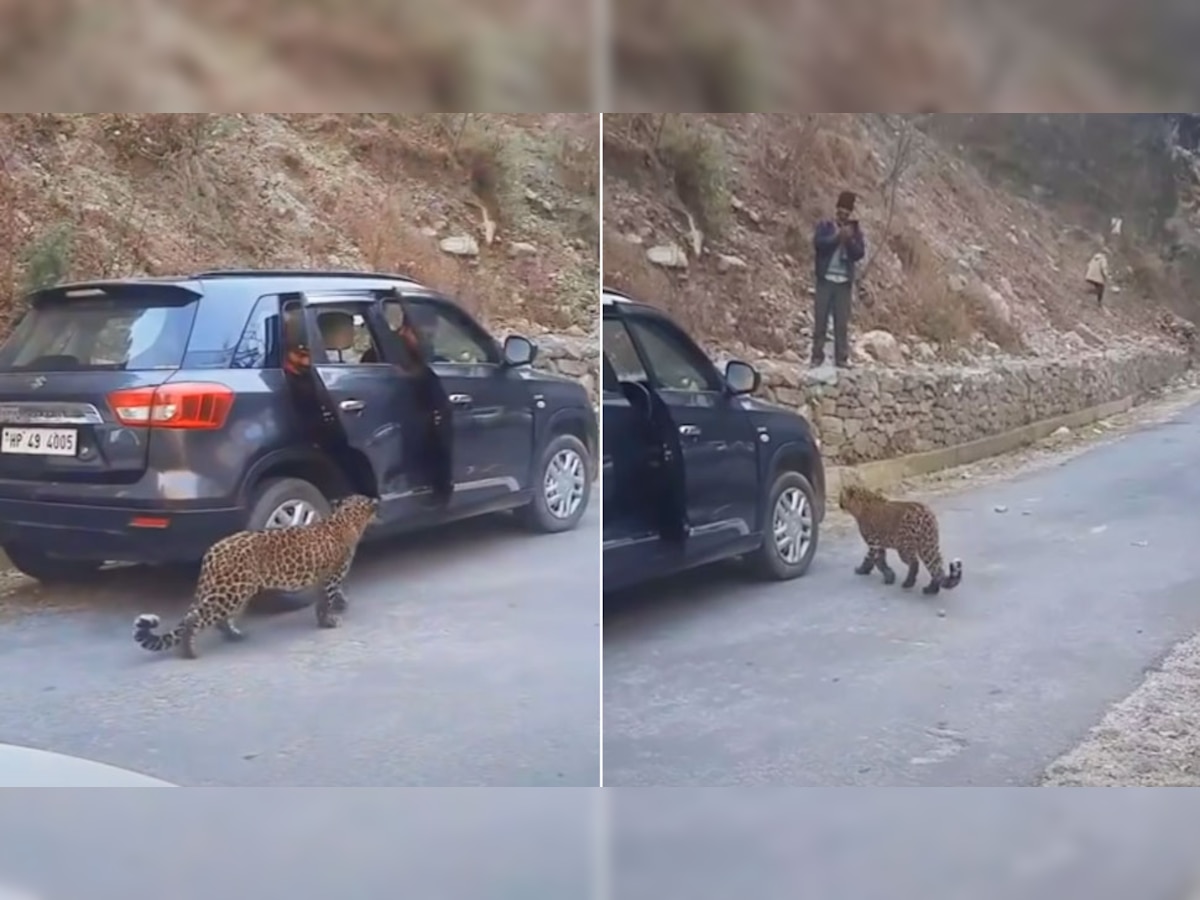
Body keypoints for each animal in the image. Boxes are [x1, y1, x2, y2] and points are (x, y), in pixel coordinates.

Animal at [132, 496, 376, 657]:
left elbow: (328, 598)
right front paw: (329, 621)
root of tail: (213, 551)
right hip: (232, 590)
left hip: (236, 589)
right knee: (196, 618)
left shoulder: (323, 577)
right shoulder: (332, 576)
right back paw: (190, 651)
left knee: (216, 618)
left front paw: (340, 606)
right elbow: (326, 600)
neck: (346, 518)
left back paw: (234, 635)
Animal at [835, 487, 964, 600]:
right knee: (937, 568)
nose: (839, 503)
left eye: (841, 495)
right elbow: (877, 560)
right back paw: (931, 589)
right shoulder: (878, 545)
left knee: (915, 563)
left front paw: (867, 571)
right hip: (928, 545)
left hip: (904, 547)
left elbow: (874, 560)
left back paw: (908, 583)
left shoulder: (874, 543)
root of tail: (926, 516)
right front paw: (885, 575)